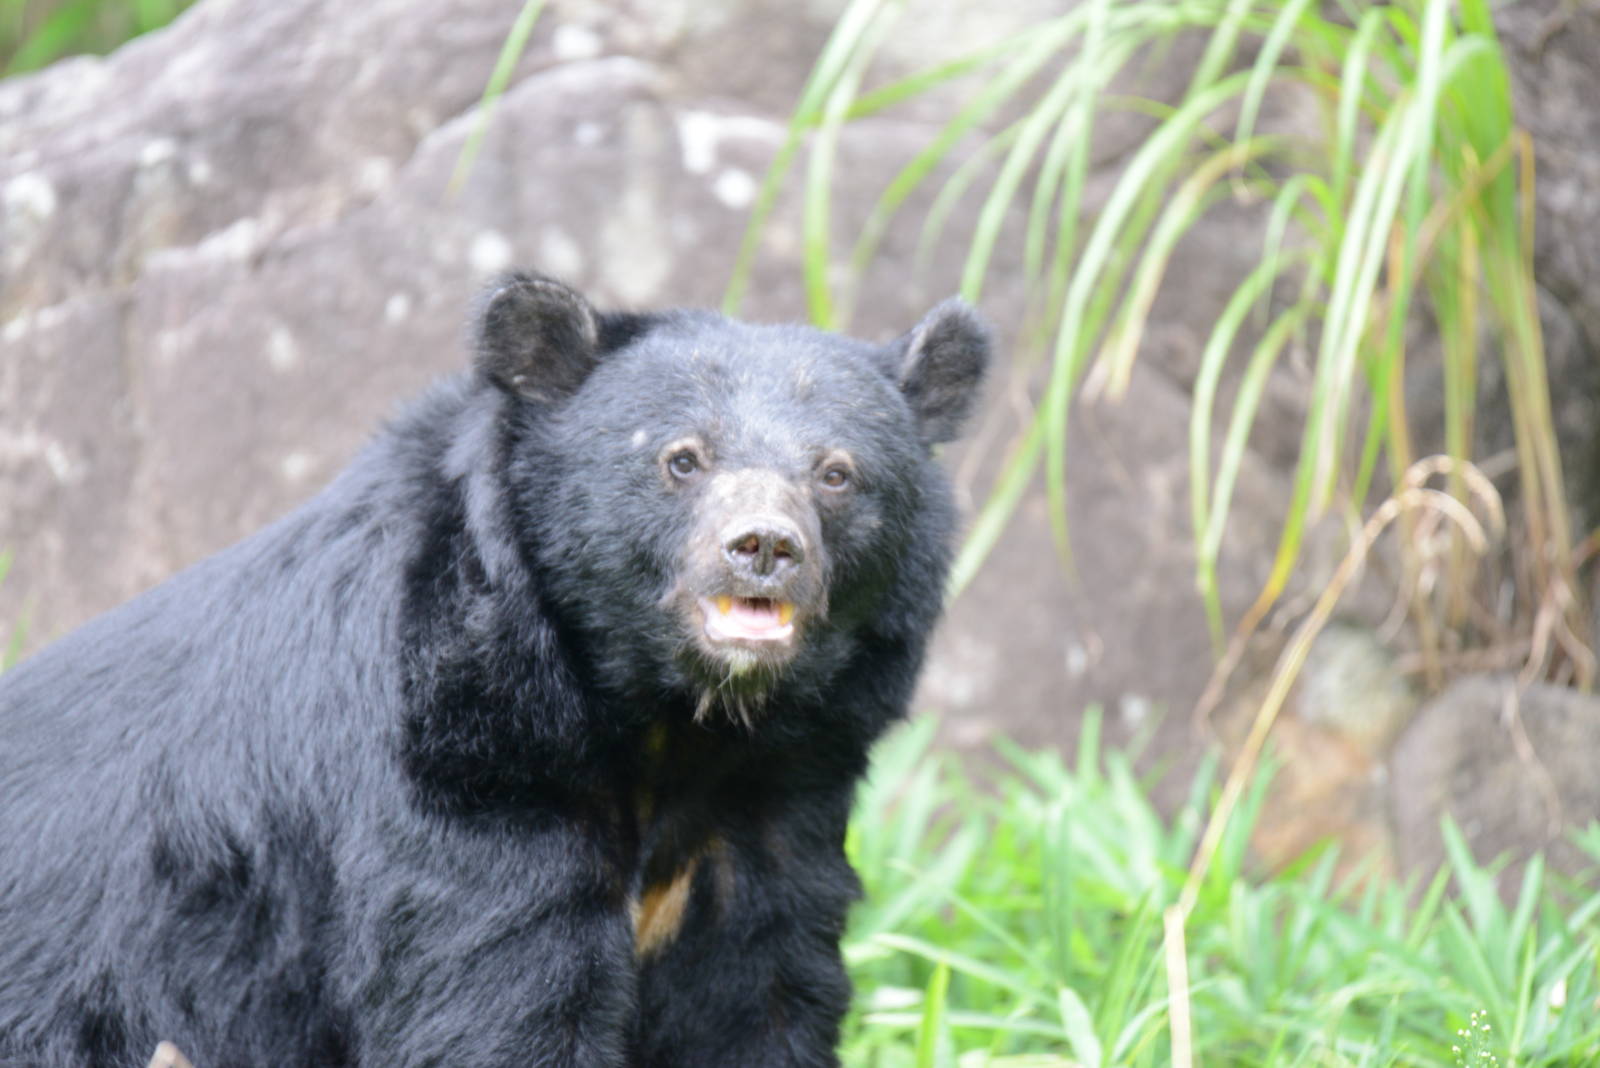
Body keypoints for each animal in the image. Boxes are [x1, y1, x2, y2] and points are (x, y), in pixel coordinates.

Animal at [0, 273, 989, 1068]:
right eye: (680, 459)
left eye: (837, 475)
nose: (764, 548)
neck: (672, 718)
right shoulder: (461, 771)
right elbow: (499, 1003)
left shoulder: (772, 803)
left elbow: (758, 1000)